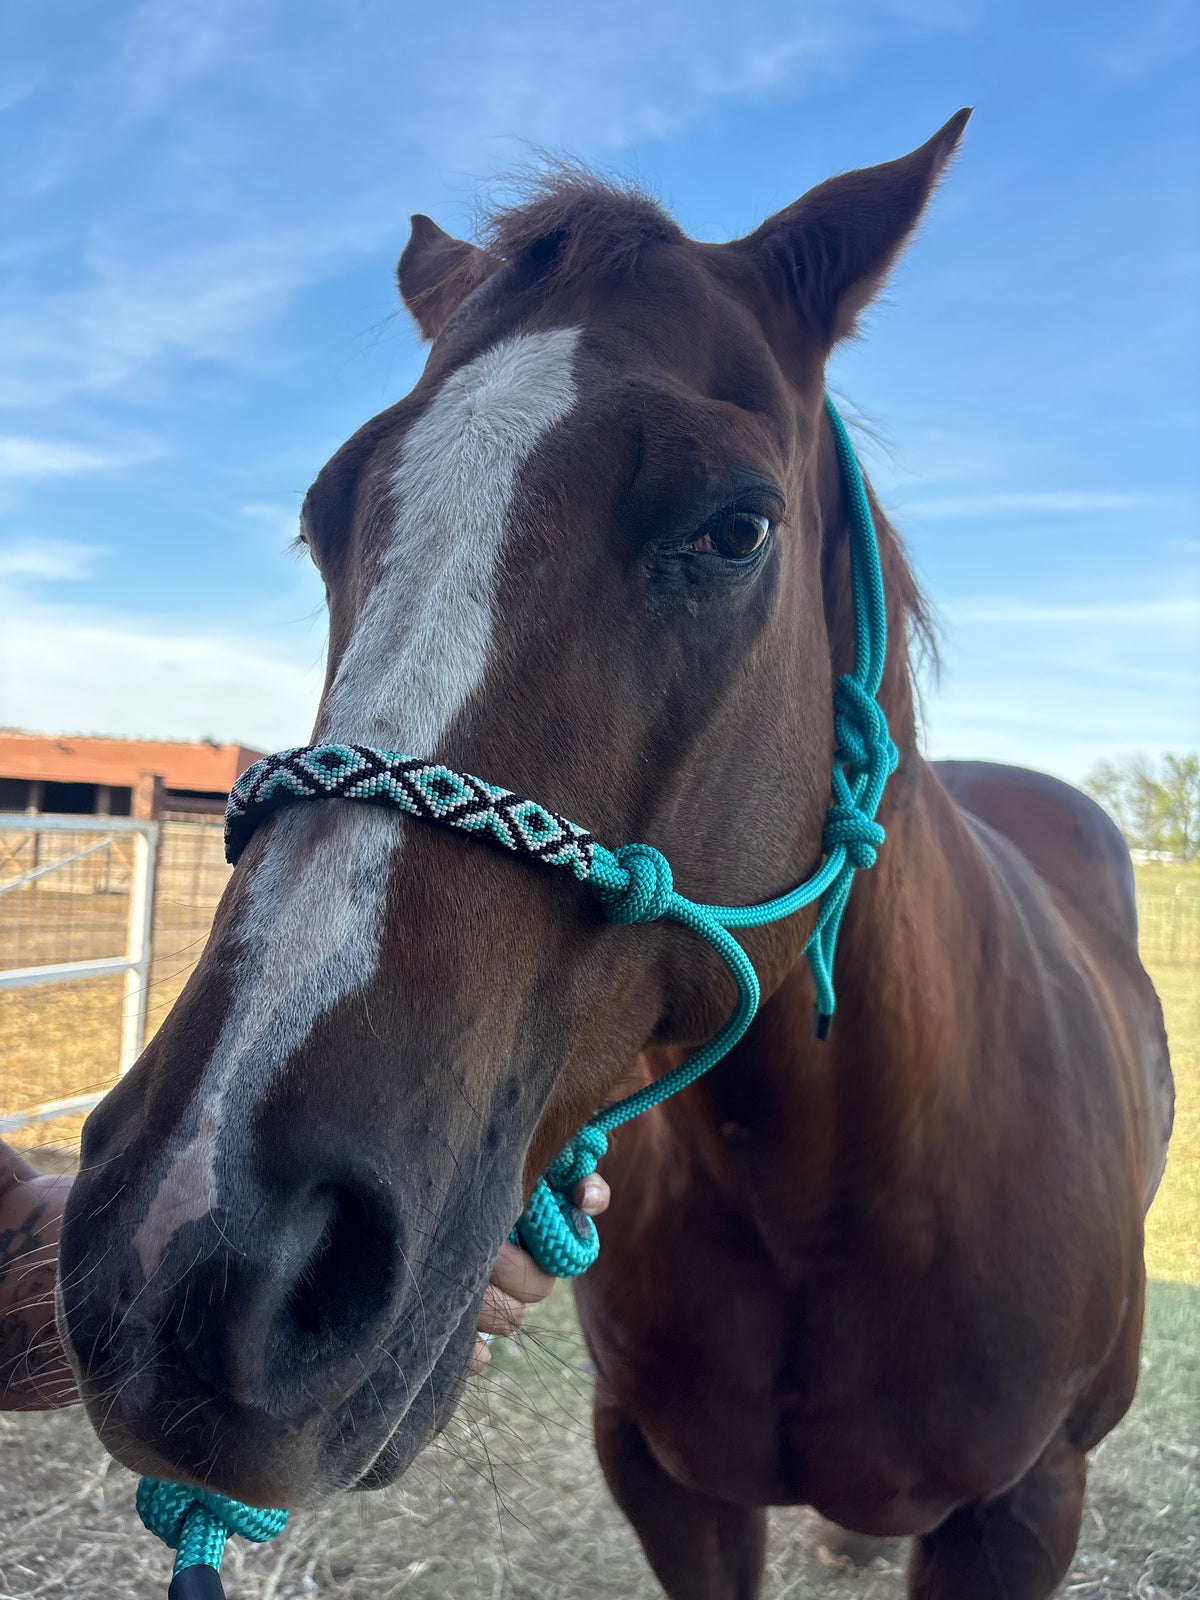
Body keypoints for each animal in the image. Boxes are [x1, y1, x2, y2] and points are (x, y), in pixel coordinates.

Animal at [58, 110, 1173, 1598]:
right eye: (327, 515)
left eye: (735, 526)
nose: (194, 1249)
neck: (831, 1197)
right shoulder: (665, 1481)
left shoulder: (1027, 1507)